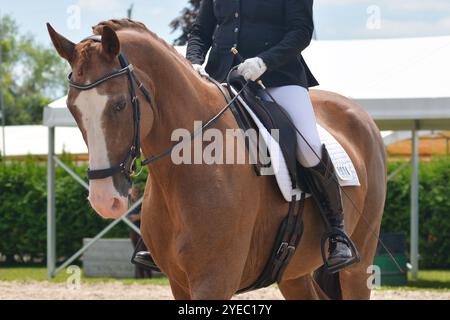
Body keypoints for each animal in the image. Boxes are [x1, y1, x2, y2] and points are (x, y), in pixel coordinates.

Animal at [48, 19, 386, 300]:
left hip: (357, 269)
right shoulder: (180, 282)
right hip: (294, 273)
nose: (105, 200)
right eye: (72, 108)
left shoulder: (214, 280)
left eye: (119, 104)